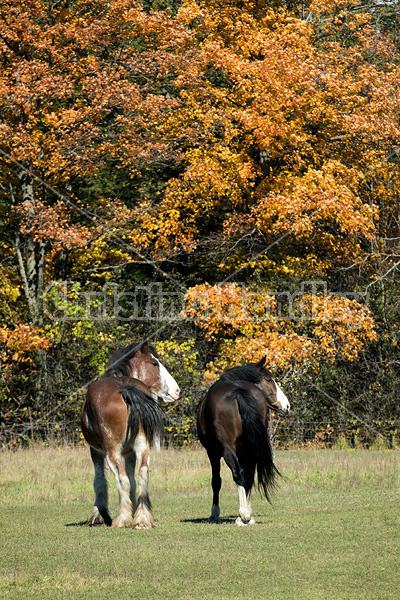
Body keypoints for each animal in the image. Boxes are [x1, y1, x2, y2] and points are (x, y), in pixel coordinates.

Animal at [81, 342, 180, 528]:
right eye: (155, 363)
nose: (176, 390)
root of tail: (124, 389)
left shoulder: (96, 452)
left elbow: (100, 481)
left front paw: (98, 515)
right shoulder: (130, 453)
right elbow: (134, 482)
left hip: (111, 452)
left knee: (122, 479)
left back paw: (122, 518)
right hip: (142, 447)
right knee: (142, 475)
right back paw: (142, 518)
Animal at [198, 356, 290, 524]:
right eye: (269, 380)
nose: (286, 406)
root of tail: (238, 391)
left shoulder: (212, 453)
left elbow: (216, 481)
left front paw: (214, 514)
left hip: (227, 450)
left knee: (238, 473)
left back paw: (243, 515)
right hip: (251, 449)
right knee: (248, 476)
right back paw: (248, 515)